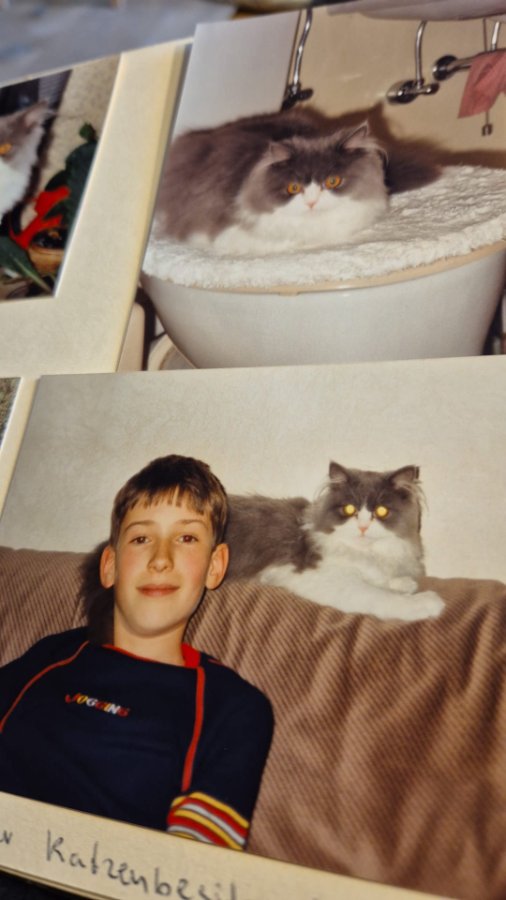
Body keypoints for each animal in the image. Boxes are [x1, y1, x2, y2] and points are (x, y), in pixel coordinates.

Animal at [224, 461, 445, 622]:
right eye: (349, 509)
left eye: (381, 511)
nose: (363, 527)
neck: (365, 553)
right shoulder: (324, 578)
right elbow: (379, 595)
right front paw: (426, 602)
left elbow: (382, 581)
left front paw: (402, 583)